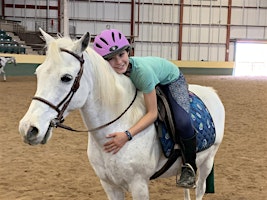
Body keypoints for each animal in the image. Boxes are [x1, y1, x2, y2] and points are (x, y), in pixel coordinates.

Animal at [18, 29, 226, 200]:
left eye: (66, 78)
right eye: (38, 73)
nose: (28, 128)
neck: (117, 126)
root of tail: (211, 92)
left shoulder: (139, 185)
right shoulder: (110, 185)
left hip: (207, 162)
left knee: (199, 189)